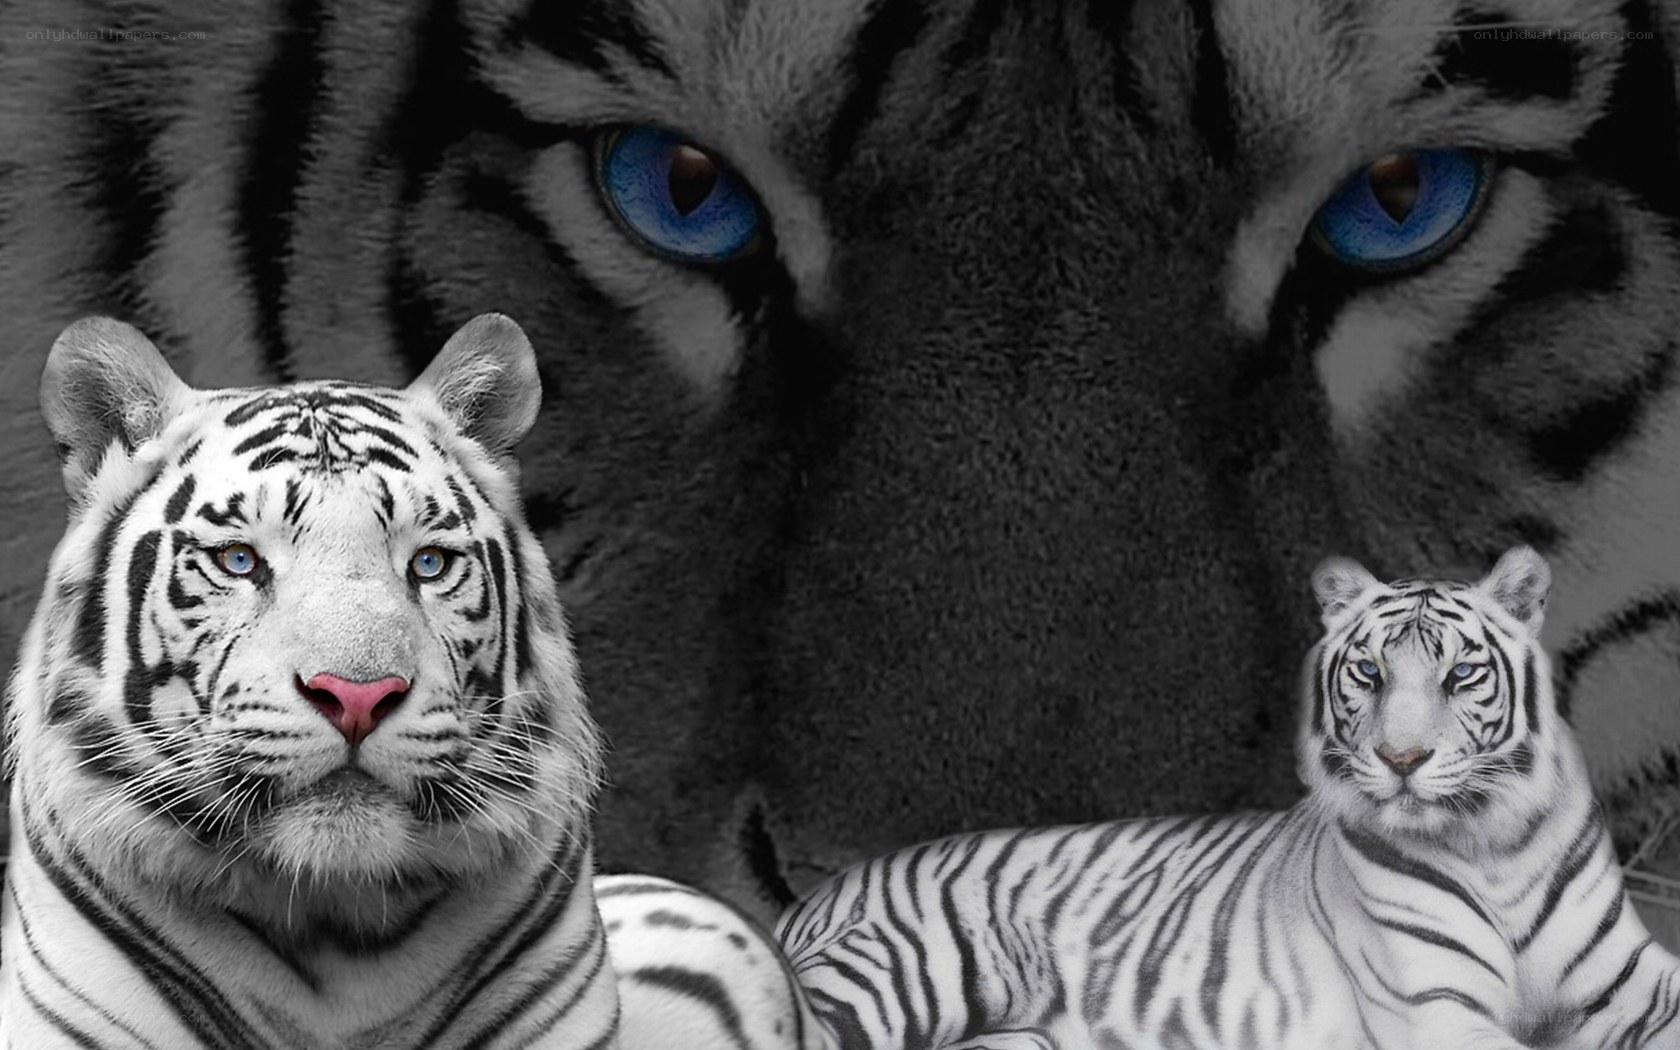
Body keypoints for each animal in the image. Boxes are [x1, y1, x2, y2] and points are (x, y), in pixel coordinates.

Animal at [775, 547, 1680, 1050]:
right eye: (1368, 673)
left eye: (1461, 675)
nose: (1402, 759)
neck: (1493, 843)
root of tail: (820, 893)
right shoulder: (1437, 1010)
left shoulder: (1630, 979)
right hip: (899, 969)